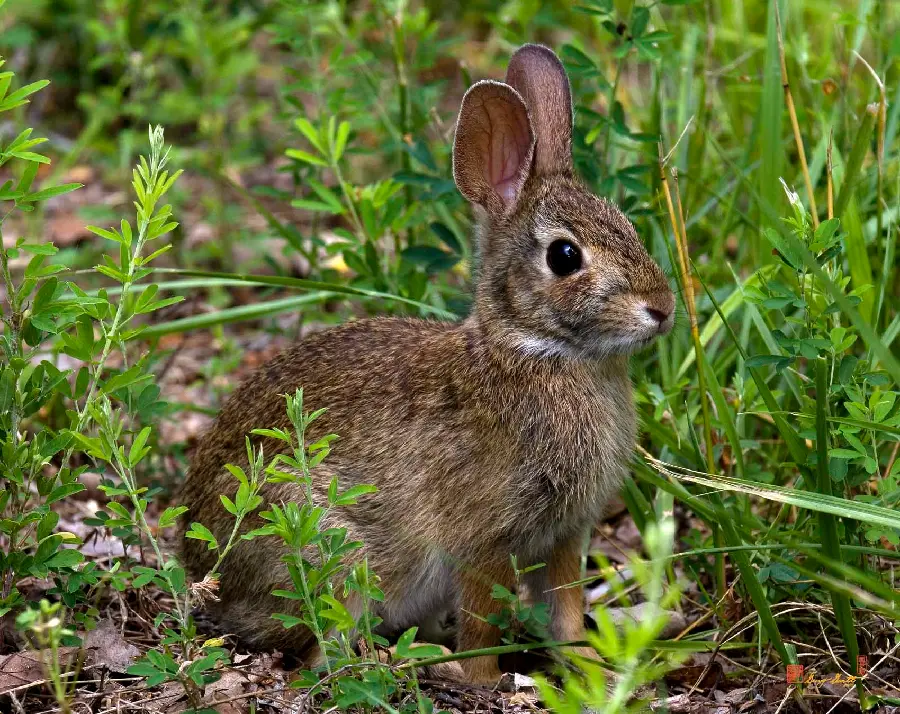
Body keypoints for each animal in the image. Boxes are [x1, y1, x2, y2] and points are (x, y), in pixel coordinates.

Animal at [179, 44, 676, 684]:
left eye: (628, 224)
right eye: (565, 256)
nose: (662, 309)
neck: (536, 349)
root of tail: (200, 569)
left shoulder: (567, 534)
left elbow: (565, 607)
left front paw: (589, 666)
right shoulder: (485, 537)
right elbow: (485, 620)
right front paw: (484, 681)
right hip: (325, 547)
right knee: (320, 651)